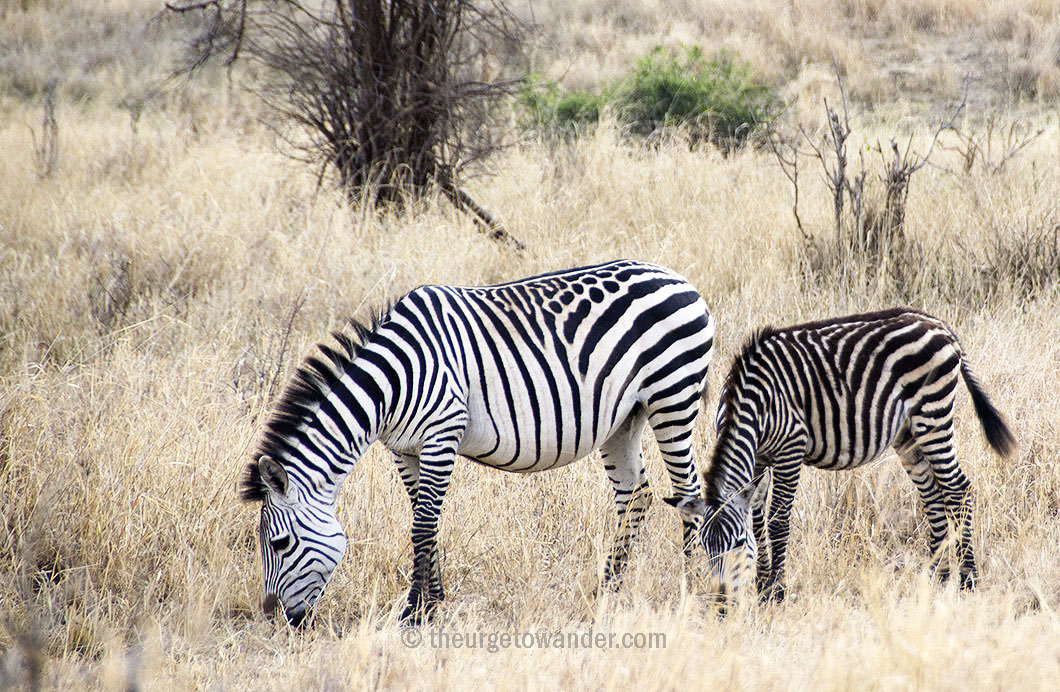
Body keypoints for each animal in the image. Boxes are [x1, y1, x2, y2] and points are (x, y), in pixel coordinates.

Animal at [240, 260, 716, 625]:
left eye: (280, 545)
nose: (276, 618)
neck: (391, 383)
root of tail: (678, 277)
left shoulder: (442, 434)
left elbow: (423, 524)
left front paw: (414, 612)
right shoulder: (404, 449)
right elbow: (423, 519)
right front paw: (434, 601)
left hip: (672, 398)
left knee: (689, 491)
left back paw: (693, 586)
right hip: (625, 418)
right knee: (636, 495)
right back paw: (607, 589)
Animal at [665, 307, 1015, 603]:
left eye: (737, 543)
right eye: (704, 547)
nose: (721, 604)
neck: (752, 404)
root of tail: (937, 323)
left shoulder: (790, 449)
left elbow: (778, 519)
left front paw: (775, 591)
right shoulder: (760, 457)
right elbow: (758, 518)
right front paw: (763, 585)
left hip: (933, 414)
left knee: (958, 489)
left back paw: (968, 579)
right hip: (908, 432)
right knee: (932, 495)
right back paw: (936, 576)